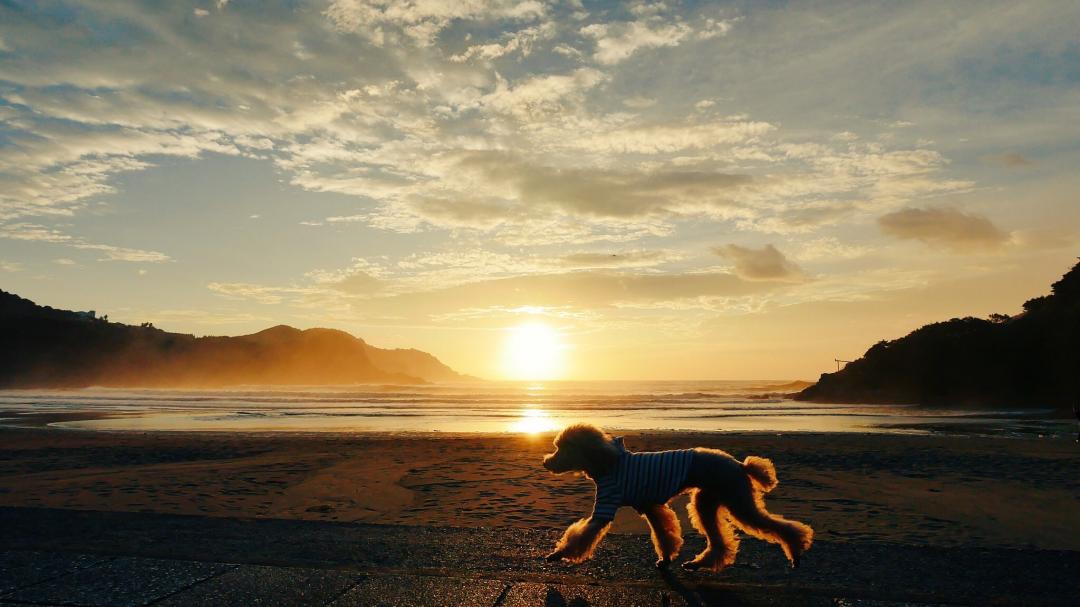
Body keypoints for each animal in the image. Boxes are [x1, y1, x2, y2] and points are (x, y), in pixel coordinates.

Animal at [540, 423, 812, 570]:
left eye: (562, 449)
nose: (546, 463)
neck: (608, 463)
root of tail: (740, 465)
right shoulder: (650, 506)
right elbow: (663, 532)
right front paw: (666, 559)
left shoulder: (607, 504)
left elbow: (584, 534)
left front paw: (558, 554)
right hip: (707, 501)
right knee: (719, 541)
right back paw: (698, 564)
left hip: (737, 498)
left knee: (777, 526)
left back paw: (796, 554)